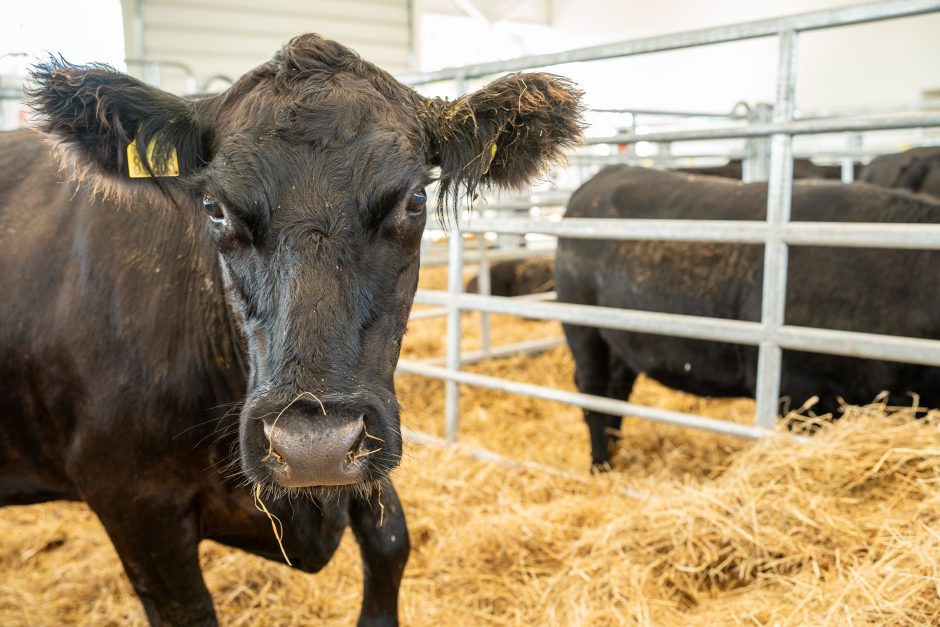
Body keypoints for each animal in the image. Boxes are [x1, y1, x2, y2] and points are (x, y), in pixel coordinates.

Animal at [560, 167, 940, 472]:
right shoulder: (800, 392)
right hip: (584, 330)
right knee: (593, 392)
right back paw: (601, 465)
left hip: (620, 343)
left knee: (616, 393)